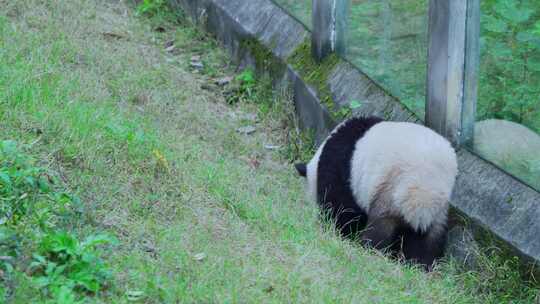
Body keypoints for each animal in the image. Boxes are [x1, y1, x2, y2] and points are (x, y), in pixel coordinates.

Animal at [298, 116, 458, 268]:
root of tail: (425, 189)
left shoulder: (339, 172)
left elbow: (342, 209)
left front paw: (337, 231)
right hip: (439, 204)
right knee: (431, 238)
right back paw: (421, 264)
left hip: (391, 190)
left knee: (380, 229)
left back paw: (369, 250)